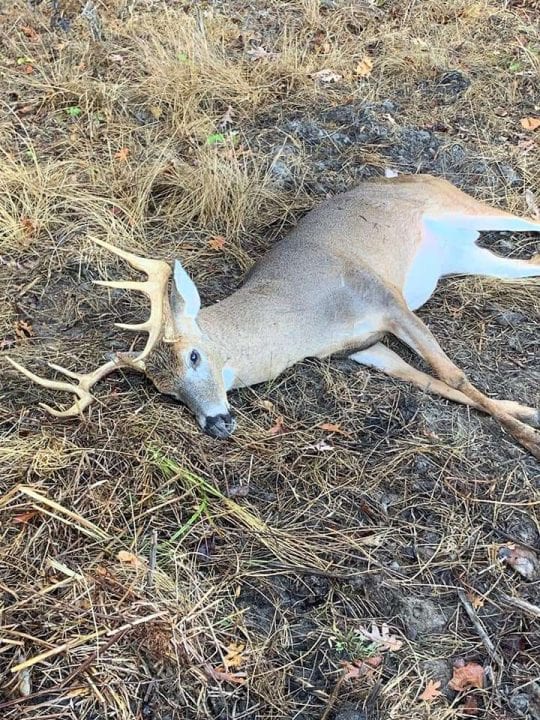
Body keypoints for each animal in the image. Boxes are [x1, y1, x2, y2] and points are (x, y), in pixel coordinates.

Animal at [6, 174, 540, 458]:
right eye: (164, 392)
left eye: (194, 357)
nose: (216, 423)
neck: (301, 322)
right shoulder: (360, 349)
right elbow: (435, 384)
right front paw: (526, 412)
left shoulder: (385, 299)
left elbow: (453, 374)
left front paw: (527, 439)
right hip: (468, 255)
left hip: (456, 205)